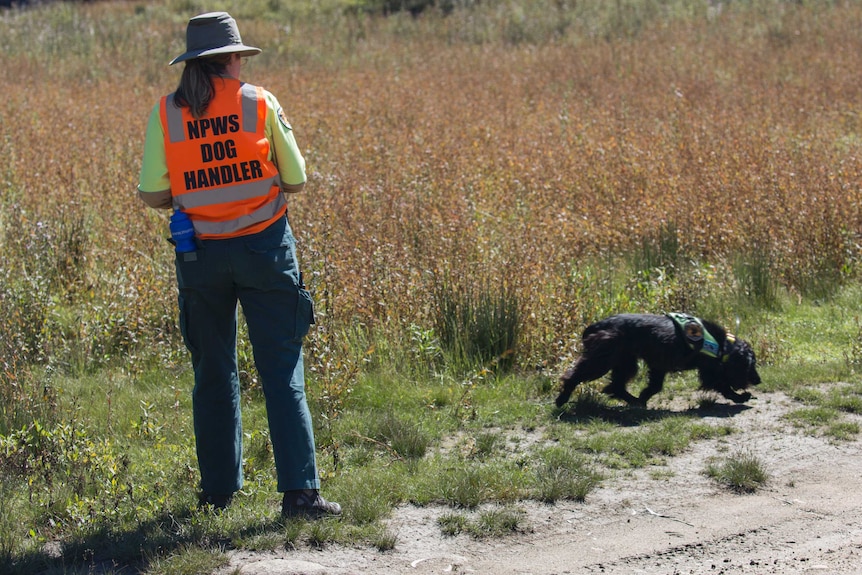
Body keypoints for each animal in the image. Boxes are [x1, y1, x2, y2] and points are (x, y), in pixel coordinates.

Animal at [556, 316, 760, 410]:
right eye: (751, 365)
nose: (759, 380)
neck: (723, 345)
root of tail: (595, 326)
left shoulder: (659, 365)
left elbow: (654, 386)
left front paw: (643, 396)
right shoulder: (708, 369)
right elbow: (724, 386)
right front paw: (740, 397)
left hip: (625, 361)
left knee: (617, 386)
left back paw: (635, 401)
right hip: (603, 359)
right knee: (575, 375)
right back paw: (562, 399)